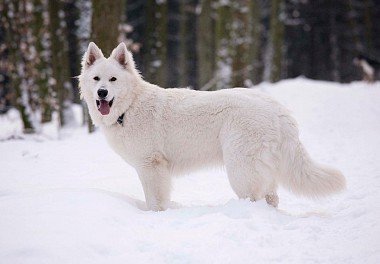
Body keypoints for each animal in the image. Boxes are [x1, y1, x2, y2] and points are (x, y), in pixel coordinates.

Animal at [78, 42, 346, 211]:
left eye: (113, 79)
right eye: (96, 79)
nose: (102, 93)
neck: (130, 106)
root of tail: (277, 109)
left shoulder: (151, 166)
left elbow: (155, 201)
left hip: (240, 169)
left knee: (255, 199)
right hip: (262, 170)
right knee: (271, 198)